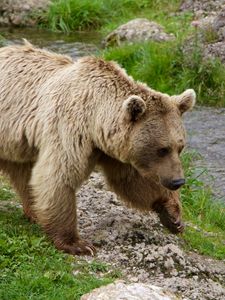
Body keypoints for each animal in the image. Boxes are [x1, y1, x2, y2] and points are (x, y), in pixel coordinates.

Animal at [0, 39, 195, 255]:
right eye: (162, 149)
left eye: (180, 147)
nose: (178, 181)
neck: (95, 119)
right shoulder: (69, 129)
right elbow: (59, 176)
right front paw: (77, 243)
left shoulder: (112, 149)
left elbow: (130, 180)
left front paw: (173, 215)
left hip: (14, 144)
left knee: (22, 173)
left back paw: (33, 212)